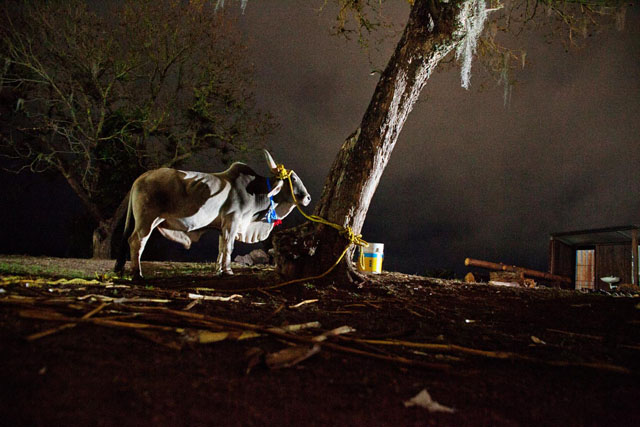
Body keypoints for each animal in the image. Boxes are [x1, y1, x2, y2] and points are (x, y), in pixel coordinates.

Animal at [114, 150, 310, 278]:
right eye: (293, 178)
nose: (307, 198)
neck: (257, 191)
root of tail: (140, 178)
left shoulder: (223, 226)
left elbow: (221, 247)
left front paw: (218, 270)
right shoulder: (233, 220)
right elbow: (228, 246)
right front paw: (228, 271)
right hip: (147, 220)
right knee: (136, 241)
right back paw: (137, 274)